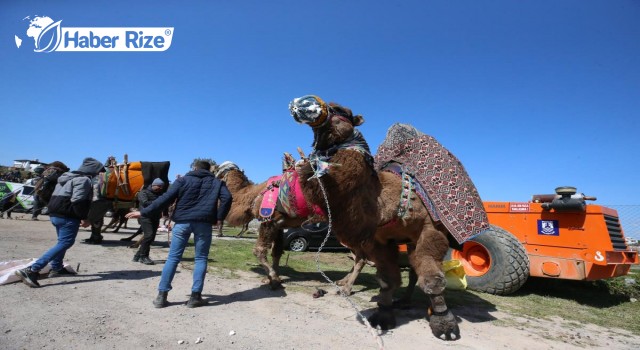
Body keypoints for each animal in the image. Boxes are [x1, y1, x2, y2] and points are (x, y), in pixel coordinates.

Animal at [288, 95, 488, 340]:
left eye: (340, 110)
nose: (298, 104)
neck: (383, 201)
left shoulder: (430, 230)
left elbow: (433, 280)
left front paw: (445, 326)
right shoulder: (379, 239)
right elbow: (386, 280)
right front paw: (382, 316)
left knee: (417, 270)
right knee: (411, 270)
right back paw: (401, 301)